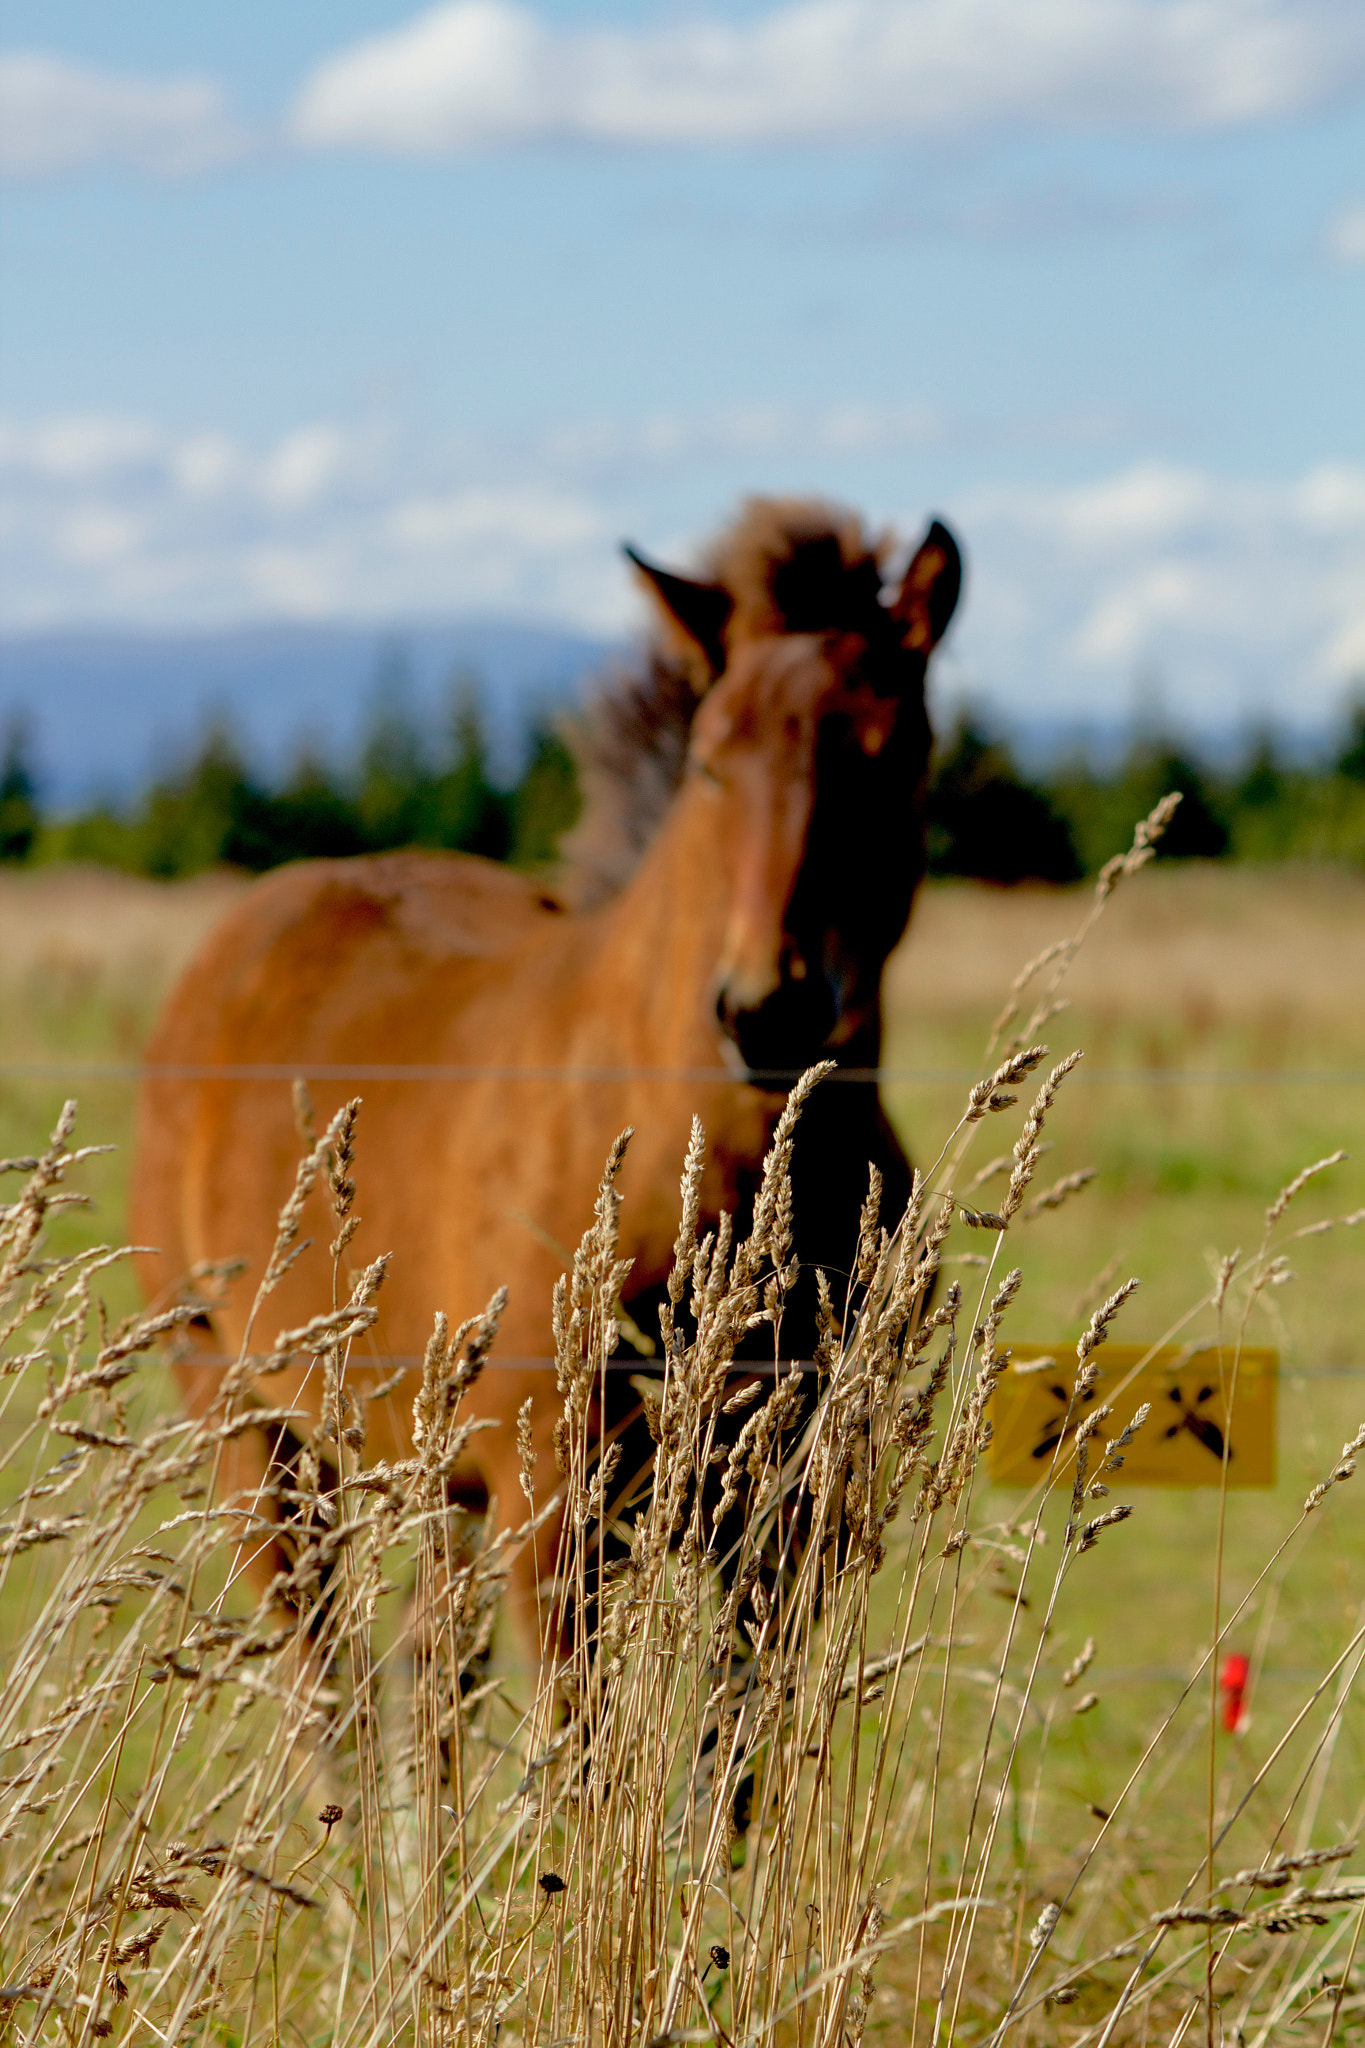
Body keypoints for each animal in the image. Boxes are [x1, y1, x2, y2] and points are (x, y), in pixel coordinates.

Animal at [130, 495, 961, 1662]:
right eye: (712, 762)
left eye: (895, 761)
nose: (770, 1011)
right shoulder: (558, 1526)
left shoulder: (799, 1522)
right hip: (254, 1430)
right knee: (324, 1674)